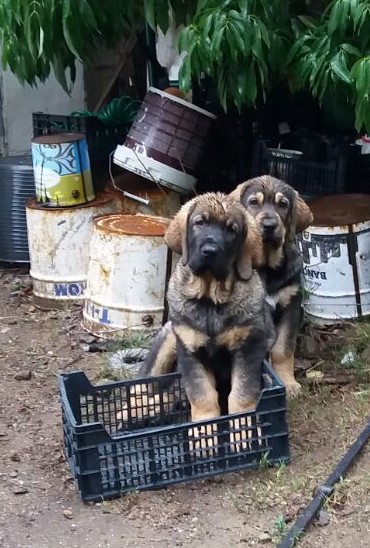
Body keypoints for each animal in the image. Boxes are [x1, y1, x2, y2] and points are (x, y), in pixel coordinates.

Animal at [231, 176, 312, 394]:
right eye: (253, 202)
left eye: (282, 204)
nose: (269, 225)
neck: (267, 268)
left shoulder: (291, 306)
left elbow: (283, 349)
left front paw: (288, 383)